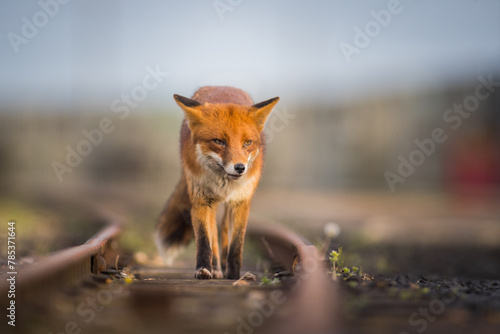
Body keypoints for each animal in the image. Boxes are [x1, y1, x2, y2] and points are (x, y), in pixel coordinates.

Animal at [155, 86, 278, 280]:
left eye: (247, 143)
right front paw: (204, 268)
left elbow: (237, 244)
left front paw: (235, 274)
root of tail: (222, 86)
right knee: (213, 231)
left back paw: (224, 267)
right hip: (208, 203)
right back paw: (216, 268)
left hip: (228, 206)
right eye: (219, 141)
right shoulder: (200, 200)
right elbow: (205, 239)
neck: (223, 182)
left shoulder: (241, 202)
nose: (240, 168)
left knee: (225, 230)